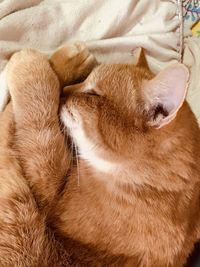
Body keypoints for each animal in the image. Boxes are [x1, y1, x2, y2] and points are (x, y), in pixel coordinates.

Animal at [0, 43, 199, 266]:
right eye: (84, 82)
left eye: (93, 94)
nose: (64, 92)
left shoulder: (43, 189)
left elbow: (31, 110)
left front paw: (33, 62)